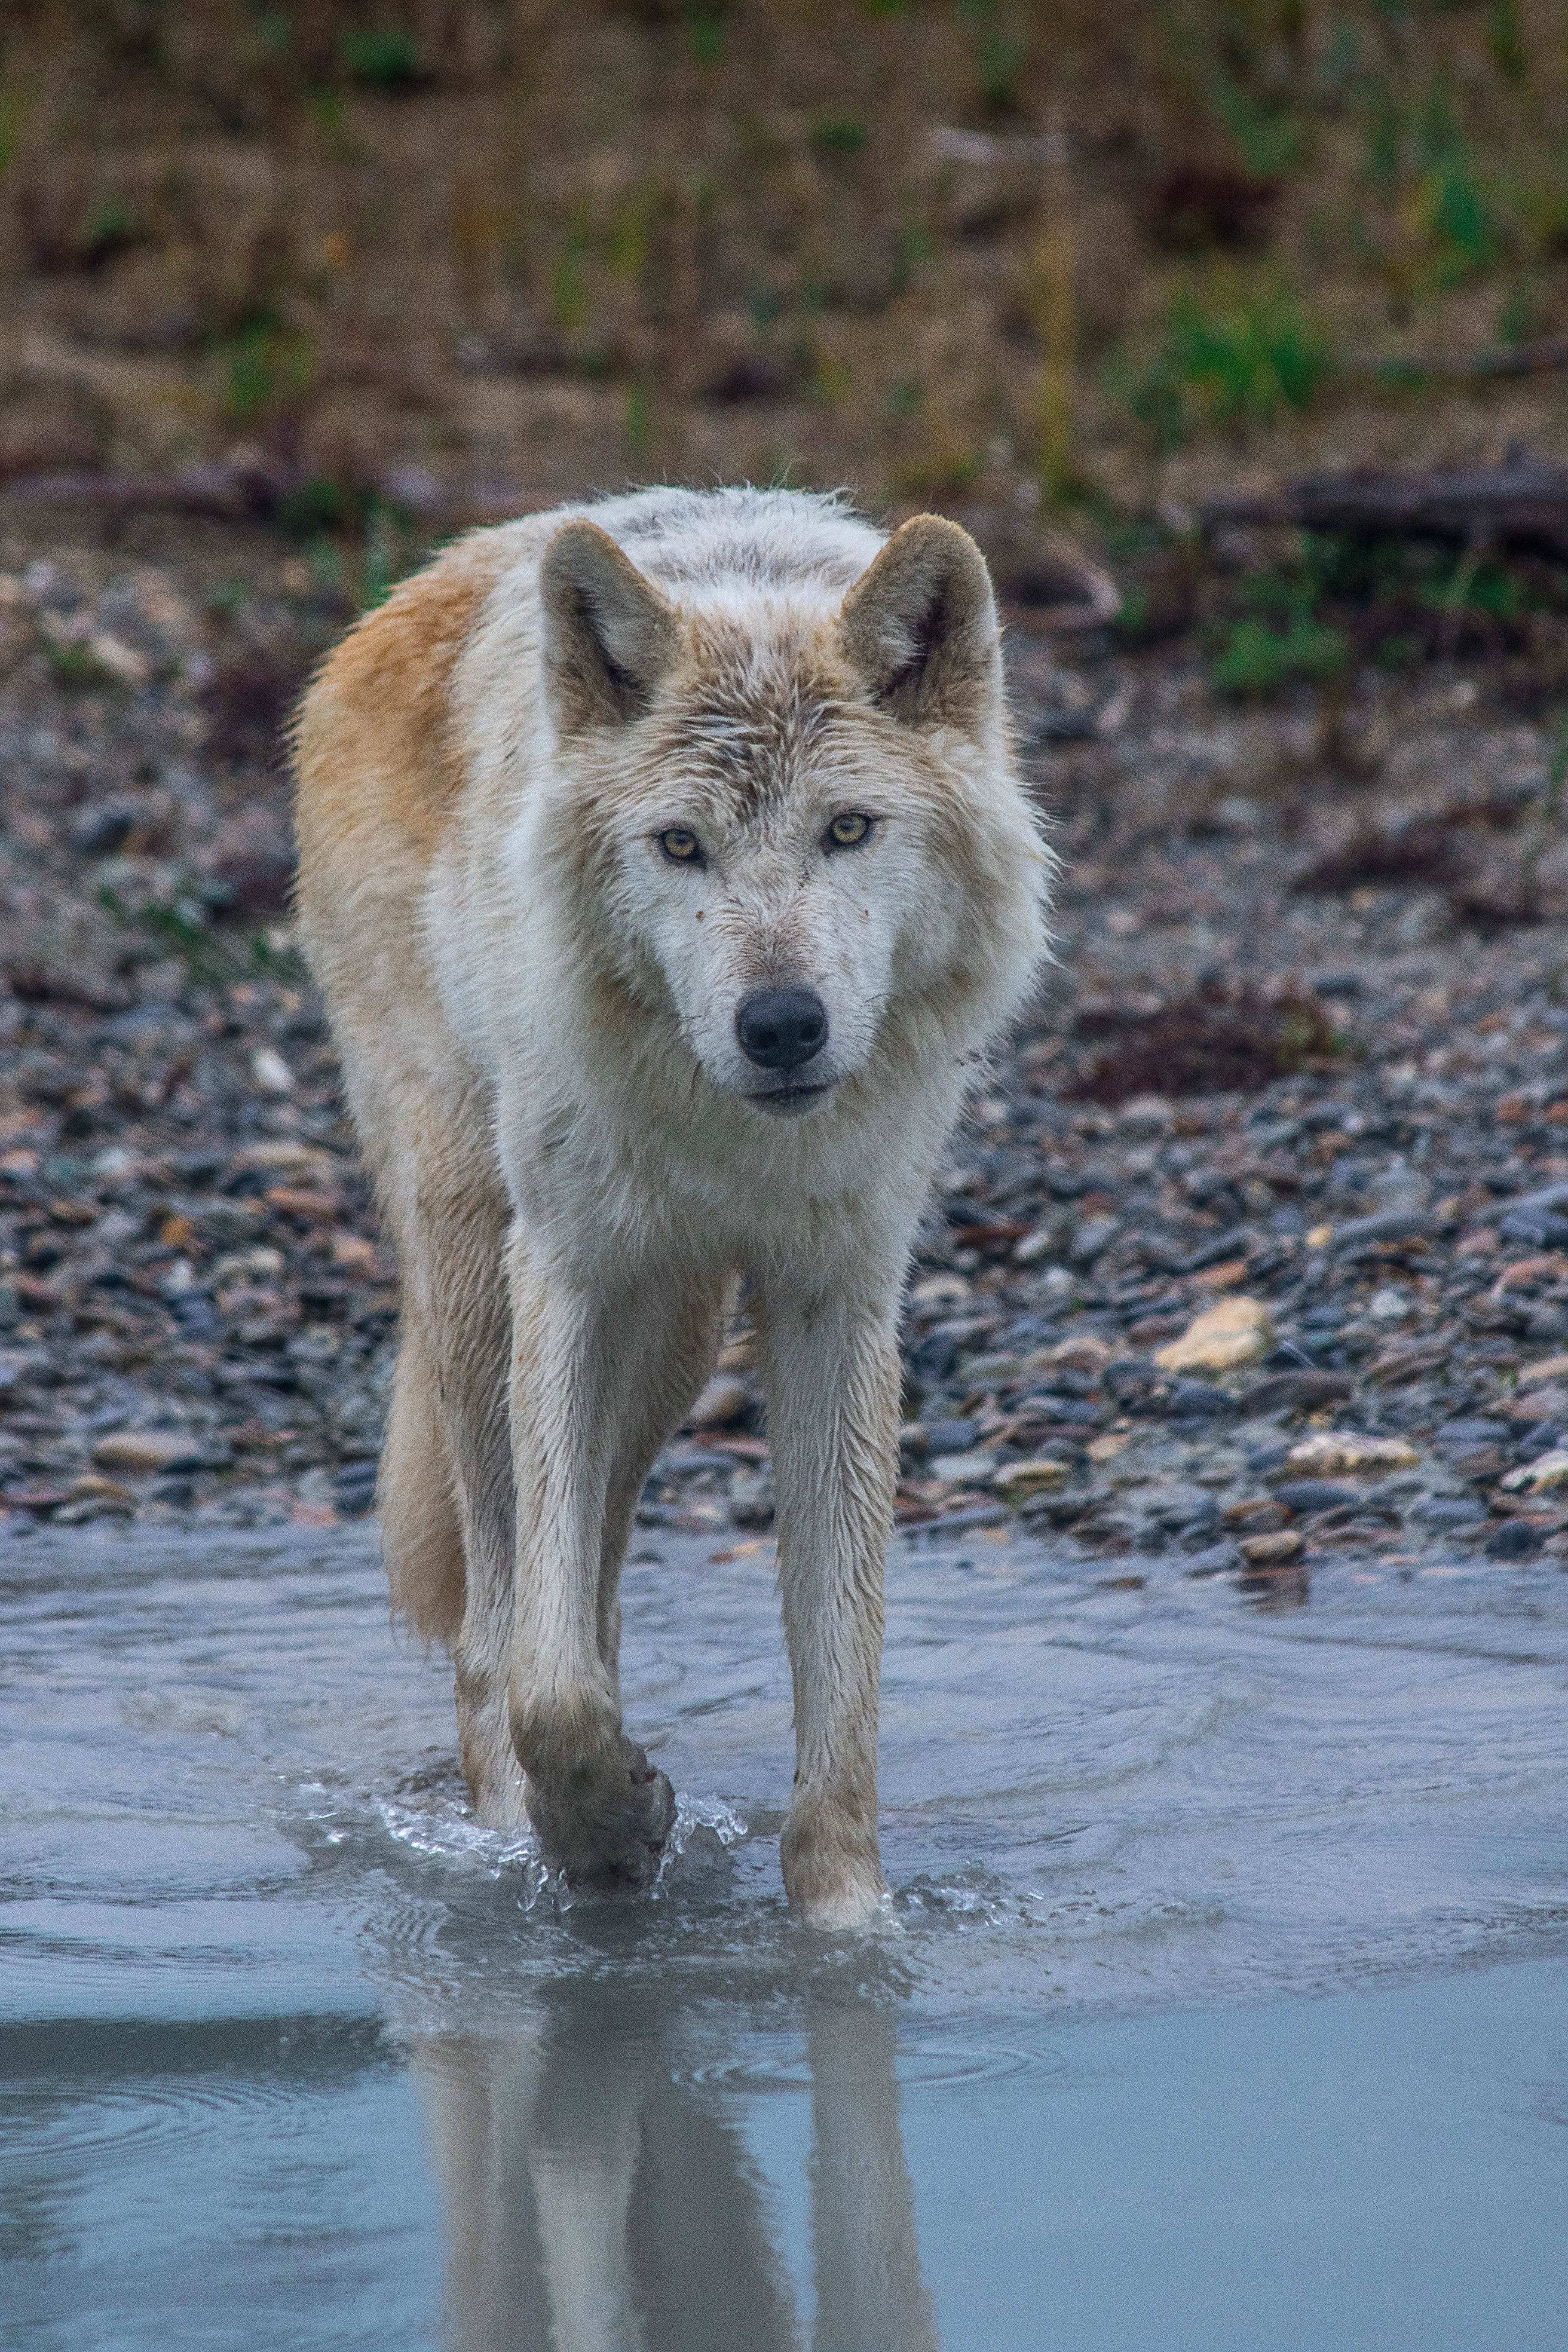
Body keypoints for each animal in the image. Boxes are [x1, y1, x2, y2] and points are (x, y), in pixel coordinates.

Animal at [293, 486, 1050, 1927]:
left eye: (848, 830)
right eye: (681, 846)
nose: (781, 1025)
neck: (738, 1137)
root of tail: (430, 578)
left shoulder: (837, 1298)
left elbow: (842, 1684)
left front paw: (844, 1930)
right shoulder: (570, 1274)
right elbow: (545, 1684)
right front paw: (602, 1837)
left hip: (679, 1336)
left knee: (590, 1593)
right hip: (483, 1269)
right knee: (500, 1631)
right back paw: (517, 1839)